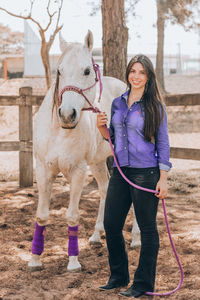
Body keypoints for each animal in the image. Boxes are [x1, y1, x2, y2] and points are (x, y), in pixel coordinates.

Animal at [28, 30, 140, 272]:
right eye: (59, 71)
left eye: (87, 70)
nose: (67, 114)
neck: (59, 130)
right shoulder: (43, 169)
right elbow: (41, 215)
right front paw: (34, 259)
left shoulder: (78, 171)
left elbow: (72, 216)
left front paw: (73, 261)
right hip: (97, 162)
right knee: (105, 189)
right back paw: (98, 234)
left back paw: (136, 238)